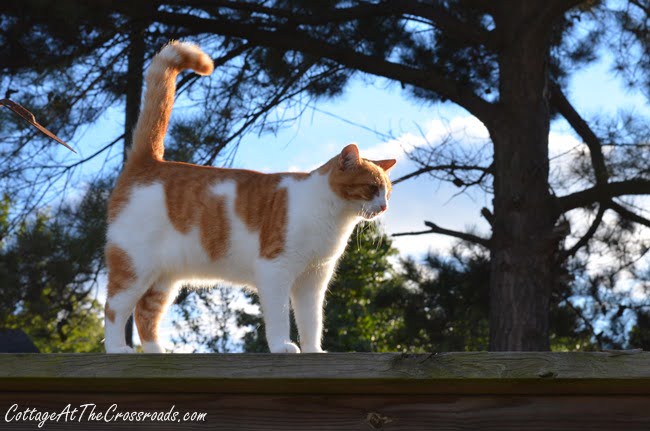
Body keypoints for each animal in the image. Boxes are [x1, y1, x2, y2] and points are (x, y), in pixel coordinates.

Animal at [104, 41, 394, 354]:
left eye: (388, 192)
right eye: (372, 188)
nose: (384, 206)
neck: (331, 216)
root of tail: (149, 162)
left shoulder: (312, 280)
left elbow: (312, 322)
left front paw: (314, 351)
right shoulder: (275, 270)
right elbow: (279, 317)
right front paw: (281, 346)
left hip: (163, 279)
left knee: (145, 314)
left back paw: (158, 355)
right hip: (134, 266)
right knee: (114, 308)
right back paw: (117, 349)